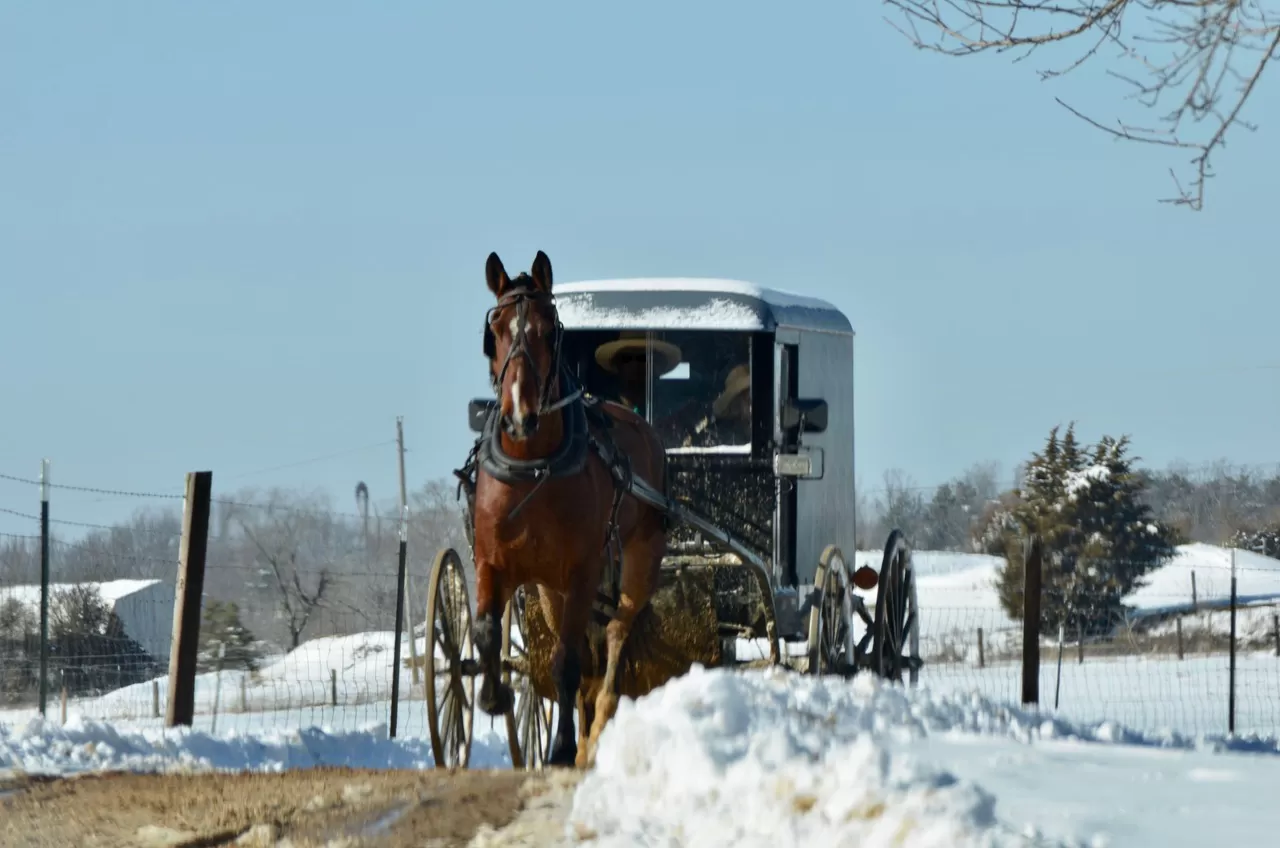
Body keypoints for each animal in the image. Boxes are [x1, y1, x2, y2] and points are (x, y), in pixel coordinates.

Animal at [468, 249, 668, 767]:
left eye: (548, 329)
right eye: (494, 329)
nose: (519, 415)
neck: (533, 466)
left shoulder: (582, 571)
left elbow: (567, 661)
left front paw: (560, 746)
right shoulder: (493, 563)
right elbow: (486, 631)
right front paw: (493, 696)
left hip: (638, 558)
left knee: (616, 631)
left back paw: (594, 729)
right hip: (547, 588)